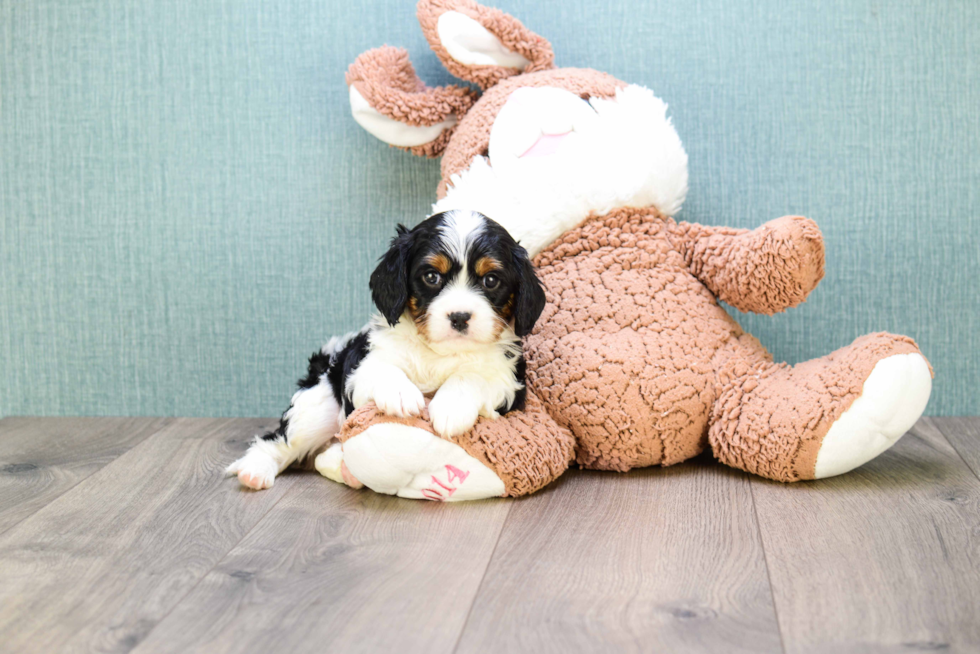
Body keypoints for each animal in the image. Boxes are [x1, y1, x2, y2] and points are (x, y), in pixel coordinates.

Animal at [231, 211, 552, 492]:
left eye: (491, 280)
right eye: (431, 277)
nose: (459, 317)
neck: (439, 352)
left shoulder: (509, 381)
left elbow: (472, 376)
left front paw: (451, 407)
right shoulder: (362, 366)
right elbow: (383, 368)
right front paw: (401, 394)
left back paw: (348, 472)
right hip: (317, 406)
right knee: (280, 440)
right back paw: (255, 470)